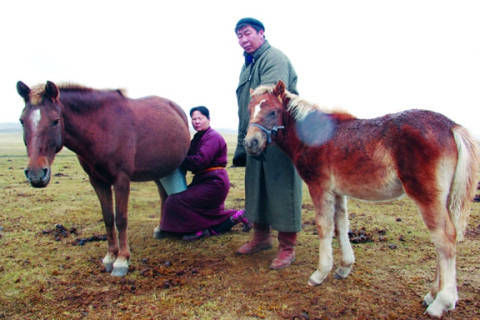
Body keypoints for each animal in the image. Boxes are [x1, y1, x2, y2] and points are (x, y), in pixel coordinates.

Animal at [17, 81, 189, 276]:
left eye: (55, 120)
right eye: (22, 120)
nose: (36, 174)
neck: (103, 128)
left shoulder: (121, 180)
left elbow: (121, 219)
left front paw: (122, 261)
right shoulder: (97, 181)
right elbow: (107, 217)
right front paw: (110, 257)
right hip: (158, 170)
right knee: (162, 195)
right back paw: (160, 229)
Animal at [246, 80, 478, 318]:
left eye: (273, 112)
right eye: (249, 110)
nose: (250, 143)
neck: (313, 134)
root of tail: (452, 126)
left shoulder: (320, 187)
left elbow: (324, 227)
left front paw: (320, 273)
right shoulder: (338, 192)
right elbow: (341, 226)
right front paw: (344, 267)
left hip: (427, 196)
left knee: (445, 239)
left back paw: (441, 302)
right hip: (444, 199)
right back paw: (432, 294)